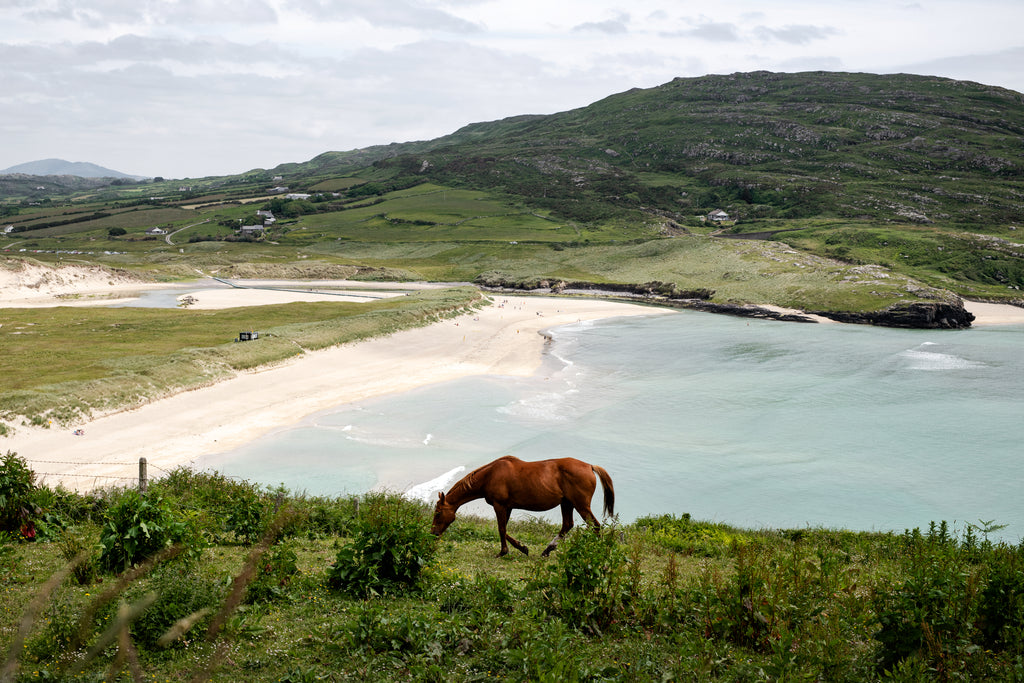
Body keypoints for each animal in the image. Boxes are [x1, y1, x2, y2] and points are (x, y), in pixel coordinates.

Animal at [428, 456, 610, 557]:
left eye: (438, 513)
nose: (433, 533)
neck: (490, 475)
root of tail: (589, 466)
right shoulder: (507, 507)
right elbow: (505, 529)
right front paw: (522, 548)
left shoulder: (500, 506)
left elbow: (501, 529)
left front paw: (504, 551)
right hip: (567, 503)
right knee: (567, 525)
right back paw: (547, 550)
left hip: (581, 505)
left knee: (595, 526)